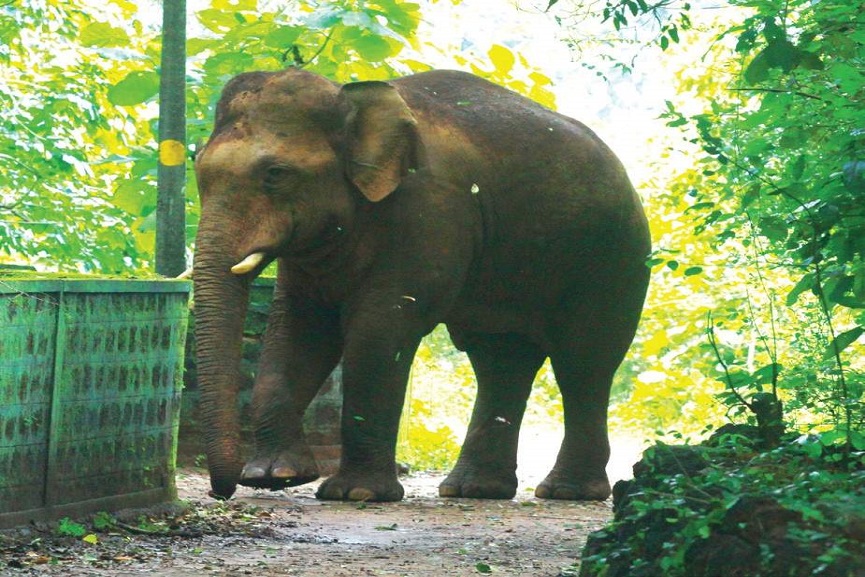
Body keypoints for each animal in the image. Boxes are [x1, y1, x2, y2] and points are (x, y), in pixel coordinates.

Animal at [192, 67, 651, 503]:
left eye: (276, 173)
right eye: (199, 175)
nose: (221, 491)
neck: (349, 96)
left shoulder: (428, 211)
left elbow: (379, 330)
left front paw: (355, 493)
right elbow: (298, 331)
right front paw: (275, 477)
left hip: (615, 260)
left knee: (583, 363)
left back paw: (567, 492)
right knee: (500, 360)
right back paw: (473, 489)